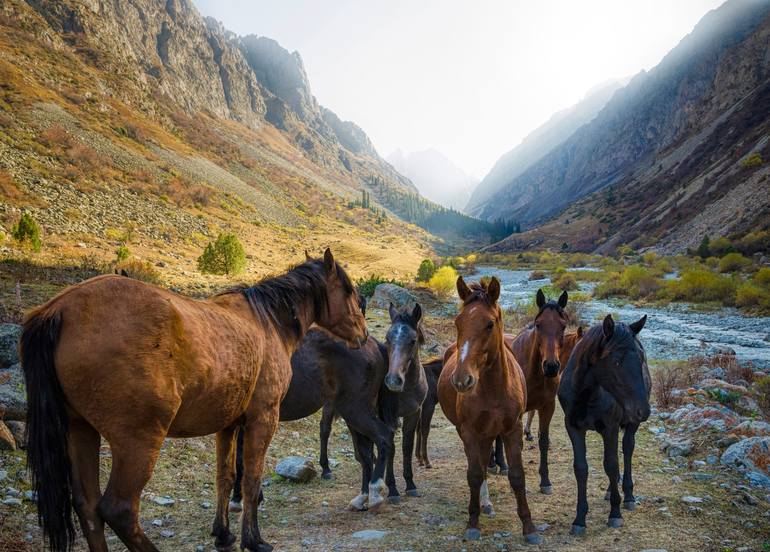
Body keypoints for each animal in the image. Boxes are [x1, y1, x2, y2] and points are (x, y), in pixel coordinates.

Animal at [19, 249, 364, 552]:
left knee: (88, 509)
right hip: (137, 443)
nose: (362, 334)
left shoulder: (228, 426)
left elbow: (226, 477)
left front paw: (223, 535)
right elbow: (251, 481)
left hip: (80, 431)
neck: (268, 323)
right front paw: (253, 540)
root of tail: (60, 310)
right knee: (119, 510)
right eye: (348, 290)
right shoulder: (263, 420)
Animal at [438, 276, 540, 544]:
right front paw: (472, 523)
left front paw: (529, 527)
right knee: (479, 465)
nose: (462, 380)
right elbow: (475, 474)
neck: (494, 389)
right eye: (458, 322)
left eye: (490, 324)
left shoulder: (513, 430)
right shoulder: (470, 432)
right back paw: (484, 504)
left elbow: (517, 476)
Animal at [552, 314, 648, 536]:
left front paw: (615, 513)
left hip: (631, 425)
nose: (643, 410)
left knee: (627, 449)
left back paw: (628, 496)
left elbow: (611, 465)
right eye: (616, 361)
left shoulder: (609, 429)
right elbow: (581, 468)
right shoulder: (573, 428)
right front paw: (579, 519)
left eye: (641, 357)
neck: (586, 394)